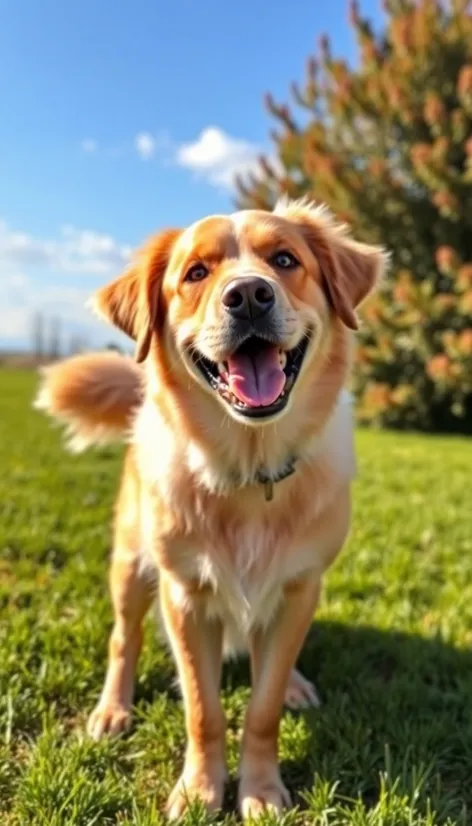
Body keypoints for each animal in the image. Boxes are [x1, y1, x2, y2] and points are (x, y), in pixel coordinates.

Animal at [37, 198, 388, 816]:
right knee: (123, 639)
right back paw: (112, 709)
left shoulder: (299, 589)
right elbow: (204, 711)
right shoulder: (185, 596)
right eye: (196, 273)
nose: (248, 294)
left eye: (284, 259)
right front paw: (202, 789)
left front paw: (261, 789)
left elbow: (262, 709)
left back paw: (294, 681)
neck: (250, 469)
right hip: (131, 564)